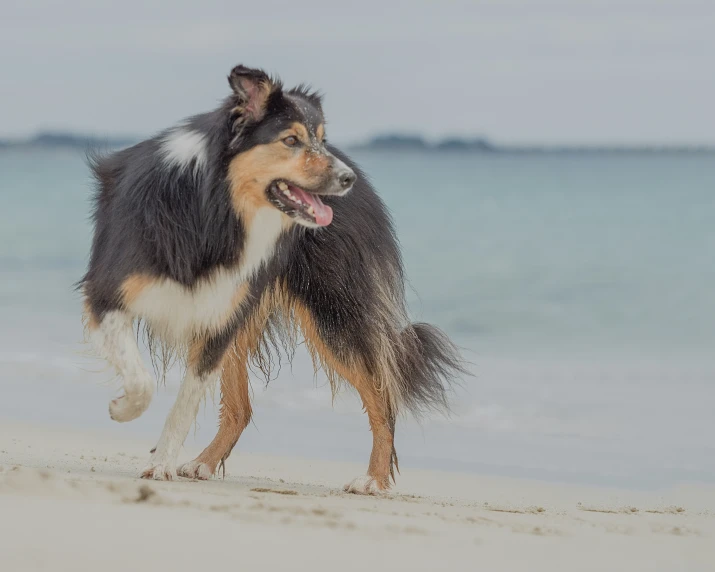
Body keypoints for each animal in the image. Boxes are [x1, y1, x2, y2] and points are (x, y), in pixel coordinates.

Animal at [82, 61, 464, 492]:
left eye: (320, 139)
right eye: (291, 140)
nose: (346, 179)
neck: (215, 210)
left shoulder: (217, 319)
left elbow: (182, 405)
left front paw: (159, 461)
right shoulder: (107, 294)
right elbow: (141, 380)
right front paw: (124, 411)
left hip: (332, 311)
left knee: (384, 397)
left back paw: (373, 480)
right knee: (241, 409)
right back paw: (203, 463)